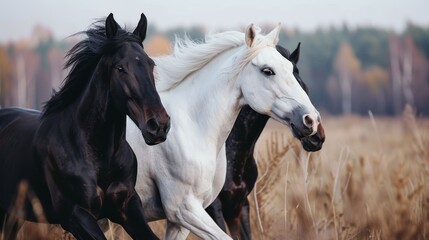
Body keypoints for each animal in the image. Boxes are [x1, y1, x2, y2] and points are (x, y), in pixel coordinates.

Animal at [0, 13, 170, 240]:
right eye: (120, 68)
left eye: (150, 64)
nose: (158, 125)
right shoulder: (75, 215)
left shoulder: (128, 207)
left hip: (13, 215)